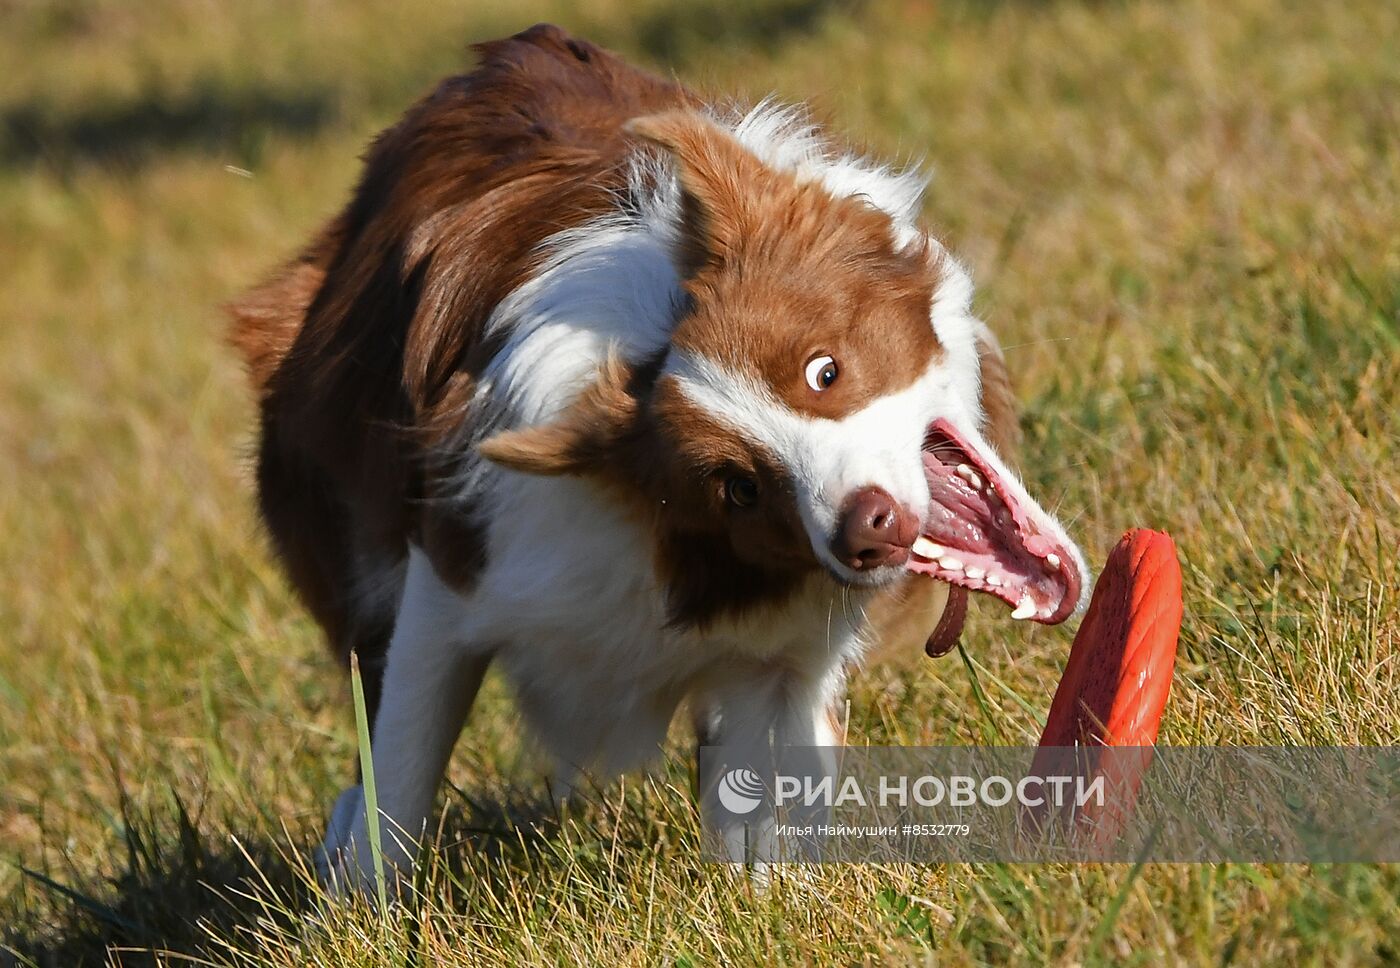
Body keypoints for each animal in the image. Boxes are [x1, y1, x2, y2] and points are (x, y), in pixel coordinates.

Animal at [229, 20, 1086, 885]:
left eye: (824, 371)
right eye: (738, 487)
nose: (864, 529)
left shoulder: (780, 660)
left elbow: (768, 811)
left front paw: (773, 895)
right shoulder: (456, 574)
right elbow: (400, 774)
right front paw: (365, 905)